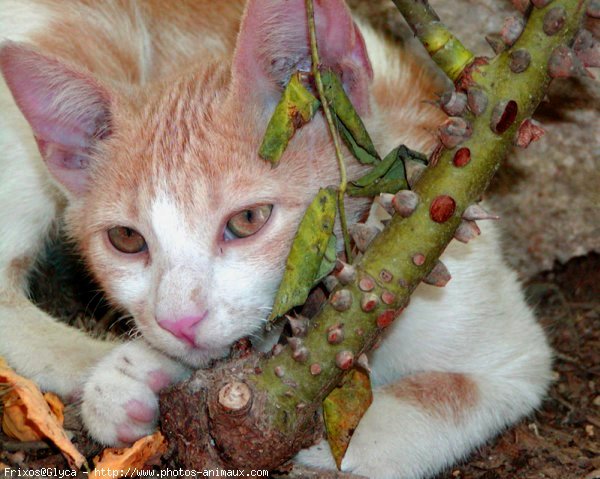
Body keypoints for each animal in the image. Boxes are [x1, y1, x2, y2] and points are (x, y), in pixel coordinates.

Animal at [0, 0, 552, 479]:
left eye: (248, 220)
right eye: (126, 239)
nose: (179, 322)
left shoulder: (496, 324)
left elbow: (452, 391)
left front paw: (348, 438)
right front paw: (130, 375)